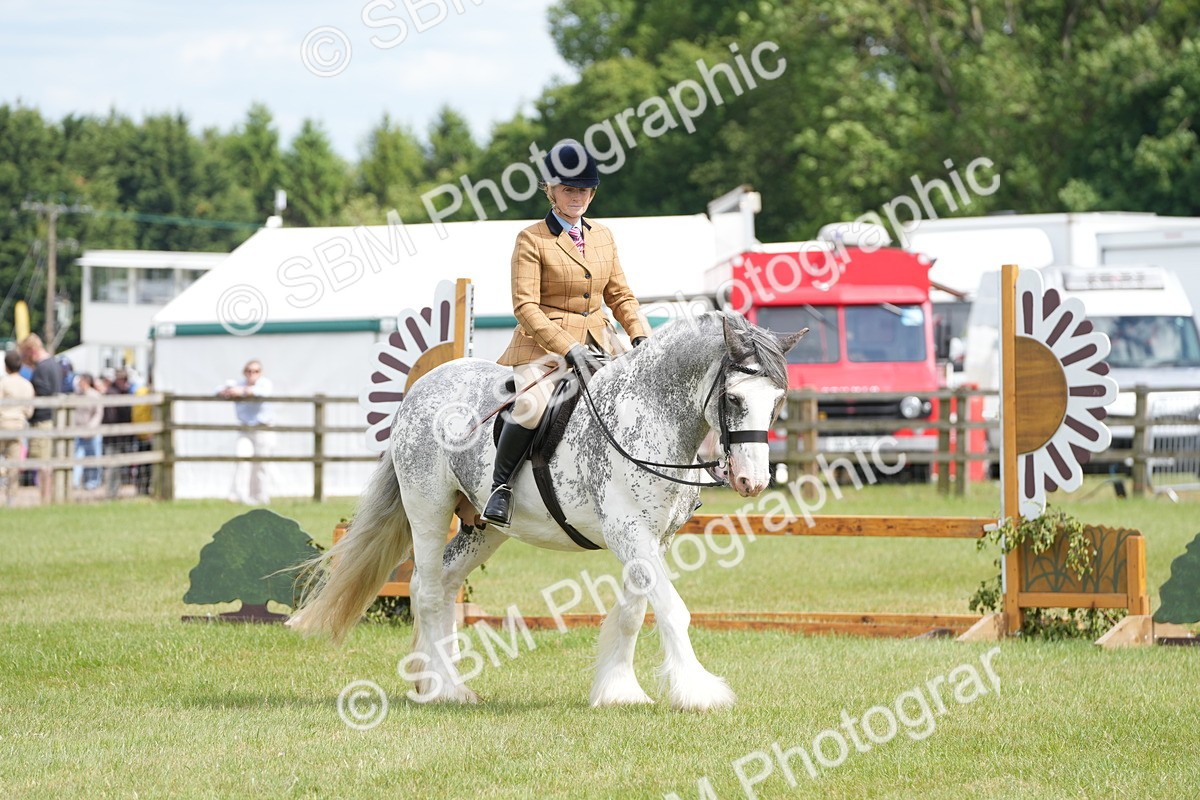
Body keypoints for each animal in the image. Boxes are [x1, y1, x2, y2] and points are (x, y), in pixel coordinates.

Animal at [288, 311, 806, 711]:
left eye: (777, 402)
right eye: (734, 398)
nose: (753, 481)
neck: (648, 416)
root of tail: (423, 388)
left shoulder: (652, 539)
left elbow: (634, 612)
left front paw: (618, 691)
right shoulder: (628, 531)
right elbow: (672, 610)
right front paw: (700, 693)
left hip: (484, 527)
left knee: (441, 583)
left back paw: (434, 680)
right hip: (428, 507)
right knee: (430, 590)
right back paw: (446, 690)